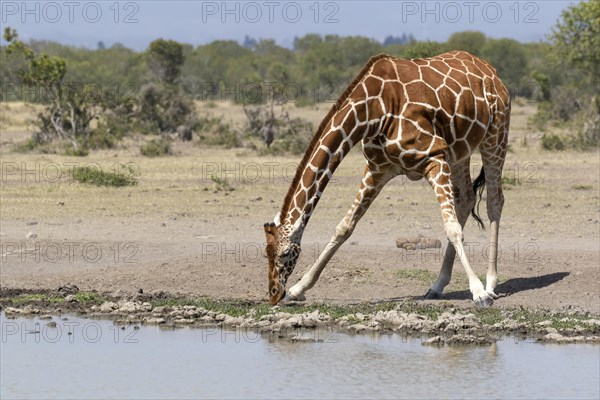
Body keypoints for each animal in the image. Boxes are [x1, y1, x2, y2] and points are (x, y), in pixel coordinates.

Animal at [264, 50, 510, 306]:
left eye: (285, 252)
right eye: (266, 252)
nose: (273, 293)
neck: (372, 111)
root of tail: (490, 70)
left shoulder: (434, 157)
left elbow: (451, 229)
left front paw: (479, 293)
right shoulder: (377, 170)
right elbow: (344, 227)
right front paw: (297, 289)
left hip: (496, 133)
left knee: (494, 201)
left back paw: (490, 283)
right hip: (460, 150)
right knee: (467, 199)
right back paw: (437, 285)